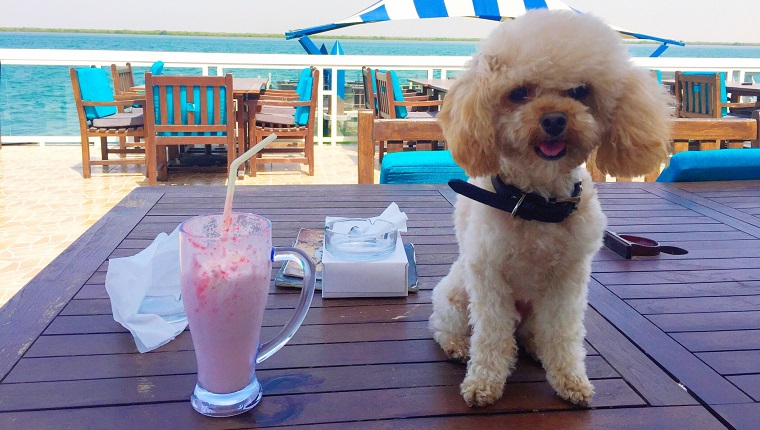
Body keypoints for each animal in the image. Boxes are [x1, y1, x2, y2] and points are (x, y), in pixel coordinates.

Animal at [428, 8, 672, 408]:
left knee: (532, 333)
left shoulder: (568, 280)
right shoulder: (489, 278)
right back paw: (457, 346)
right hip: (456, 295)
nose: (555, 119)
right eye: (518, 93)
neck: (536, 202)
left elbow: (563, 333)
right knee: (444, 326)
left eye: (580, 91)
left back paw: (533, 346)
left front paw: (570, 380)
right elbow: (491, 337)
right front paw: (483, 384)